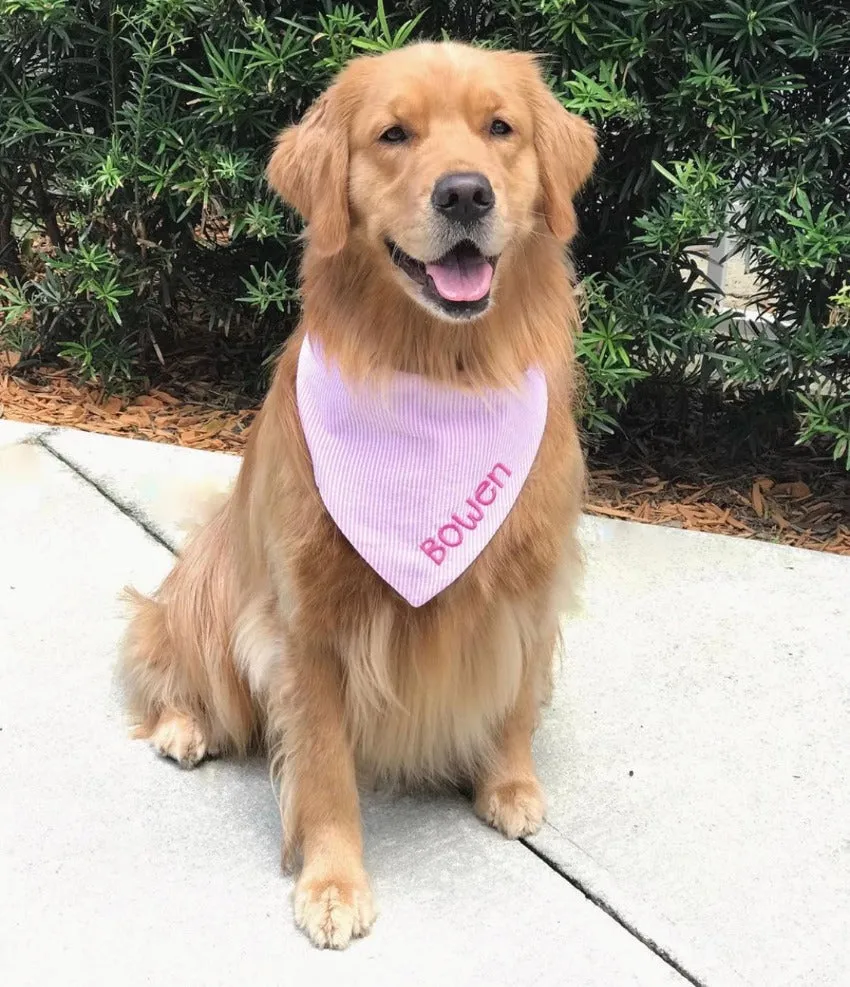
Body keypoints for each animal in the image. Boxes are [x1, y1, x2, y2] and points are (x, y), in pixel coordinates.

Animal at [121, 42, 596, 952]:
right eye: (392, 134)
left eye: (500, 128)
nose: (465, 193)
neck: (439, 374)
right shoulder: (308, 625)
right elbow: (324, 767)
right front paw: (333, 882)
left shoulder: (532, 579)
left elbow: (516, 695)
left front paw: (509, 783)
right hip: (210, 588)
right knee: (170, 654)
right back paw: (182, 723)